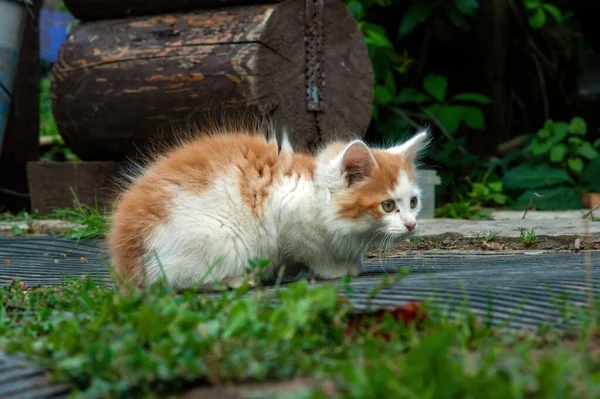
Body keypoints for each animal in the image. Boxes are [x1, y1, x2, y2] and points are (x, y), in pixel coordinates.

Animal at [106, 125, 426, 290]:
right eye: (387, 205)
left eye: (413, 202)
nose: (411, 224)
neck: (316, 195)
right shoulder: (289, 220)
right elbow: (314, 252)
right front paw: (337, 270)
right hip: (223, 238)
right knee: (182, 281)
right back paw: (240, 279)